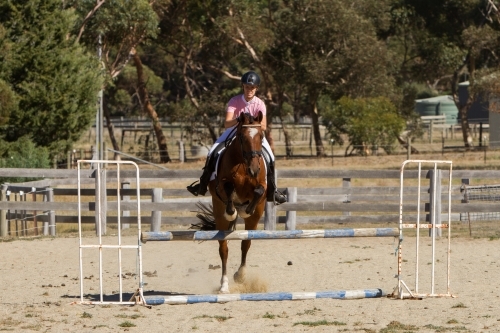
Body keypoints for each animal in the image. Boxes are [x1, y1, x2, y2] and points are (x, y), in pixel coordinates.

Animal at [193, 111, 268, 294]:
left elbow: (258, 191)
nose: (254, 169)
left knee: (246, 243)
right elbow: (228, 188)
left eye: (261, 136)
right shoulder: (221, 186)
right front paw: (232, 211)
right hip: (218, 214)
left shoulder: (261, 186)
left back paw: (240, 275)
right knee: (224, 249)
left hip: (255, 219)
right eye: (242, 136)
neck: (243, 163)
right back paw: (224, 285)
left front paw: (245, 209)